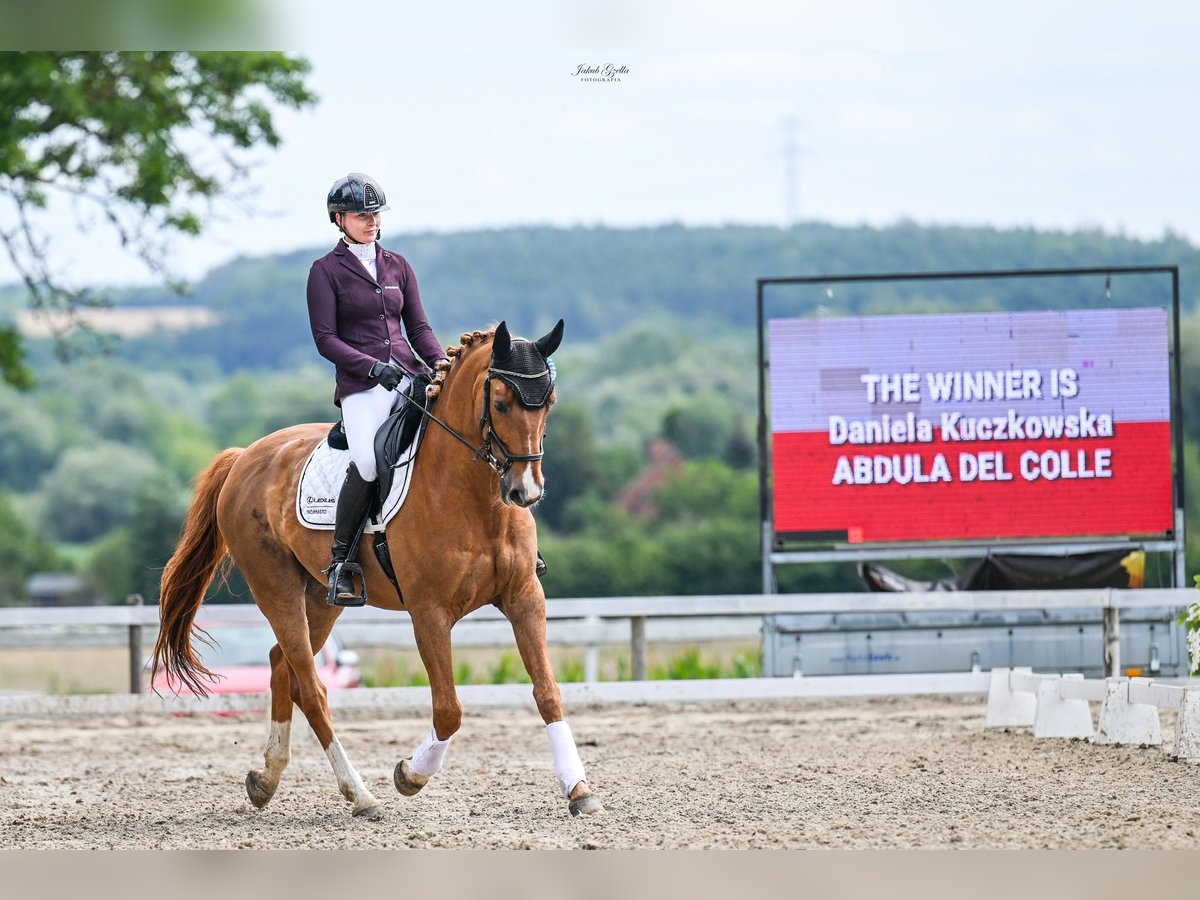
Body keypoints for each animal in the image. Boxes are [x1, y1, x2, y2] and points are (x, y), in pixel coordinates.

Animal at [152, 321, 600, 820]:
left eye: (549, 403)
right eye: (501, 403)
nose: (526, 492)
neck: (476, 498)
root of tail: (245, 456)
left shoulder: (524, 597)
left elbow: (548, 692)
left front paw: (579, 790)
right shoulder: (429, 612)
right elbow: (449, 709)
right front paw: (410, 775)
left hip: (321, 597)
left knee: (281, 666)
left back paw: (266, 780)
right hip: (275, 586)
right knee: (311, 686)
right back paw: (360, 794)